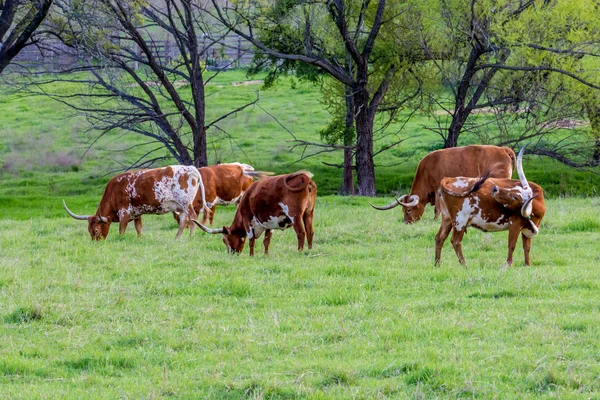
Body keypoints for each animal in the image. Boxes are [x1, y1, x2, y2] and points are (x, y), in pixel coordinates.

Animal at [62, 164, 205, 239]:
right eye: (89, 230)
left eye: (96, 230)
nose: (96, 243)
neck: (114, 191)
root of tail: (191, 168)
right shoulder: (137, 214)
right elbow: (139, 229)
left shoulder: (124, 213)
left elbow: (122, 230)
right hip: (181, 207)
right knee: (183, 221)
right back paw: (177, 238)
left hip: (186, 203)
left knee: (193, 217)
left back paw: (191, 236)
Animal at [370, 145, 516, 223]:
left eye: (409, 210)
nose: (406, 223)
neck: (426, 169)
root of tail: (503, 149)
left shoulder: (437, 190)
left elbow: (438, 208)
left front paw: (435, 220)